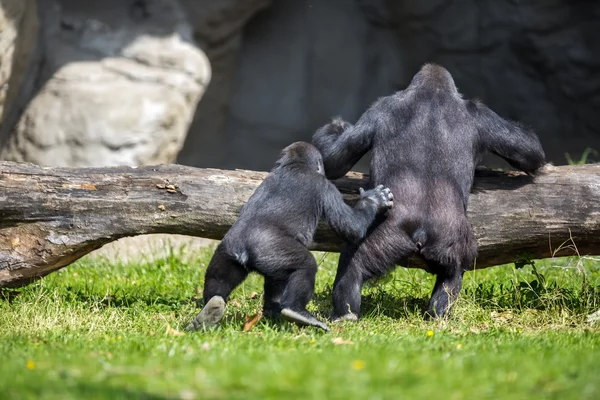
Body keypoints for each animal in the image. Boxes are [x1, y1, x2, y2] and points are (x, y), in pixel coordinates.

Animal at [188, 141, 394, 332]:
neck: (294, 165)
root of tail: (242, 251)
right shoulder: (325, 186)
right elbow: (351, 227)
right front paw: (373, 200)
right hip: (271, 250)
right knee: (306, 266)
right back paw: (297, 311)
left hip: (227, 253)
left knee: (218, 280)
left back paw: (209, 312)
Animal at [312, 64, 548, 320]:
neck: (432, 91)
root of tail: (420, 231)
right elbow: (334, 162)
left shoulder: (383, 107)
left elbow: (529, 153)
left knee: (447, 272)